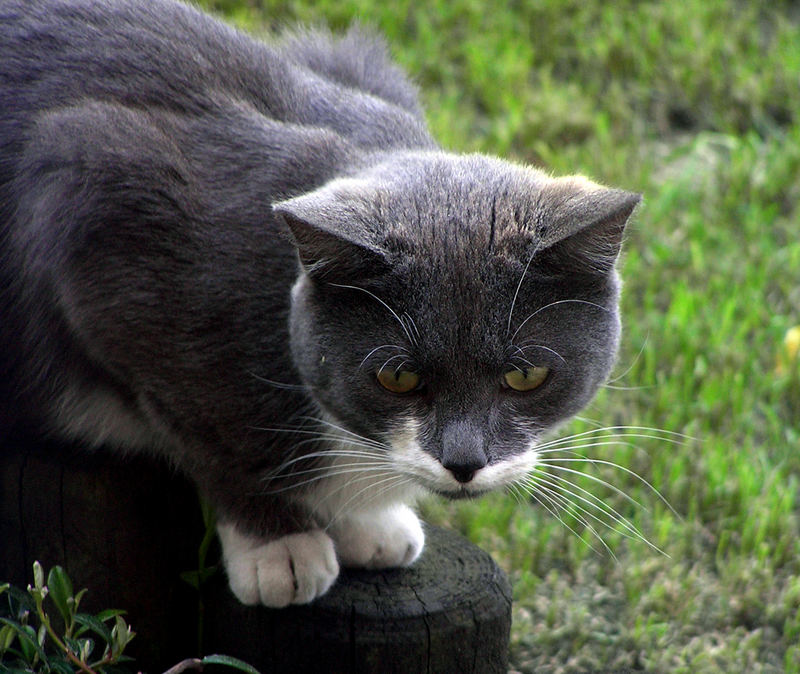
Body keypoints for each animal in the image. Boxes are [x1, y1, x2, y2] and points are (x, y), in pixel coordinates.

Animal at [0, 0, 636, 608]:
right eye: (397, 377)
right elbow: (212, 433)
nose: (463, 463)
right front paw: (279, 546)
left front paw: (367, 524)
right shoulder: (97, 212)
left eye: (525, 375)